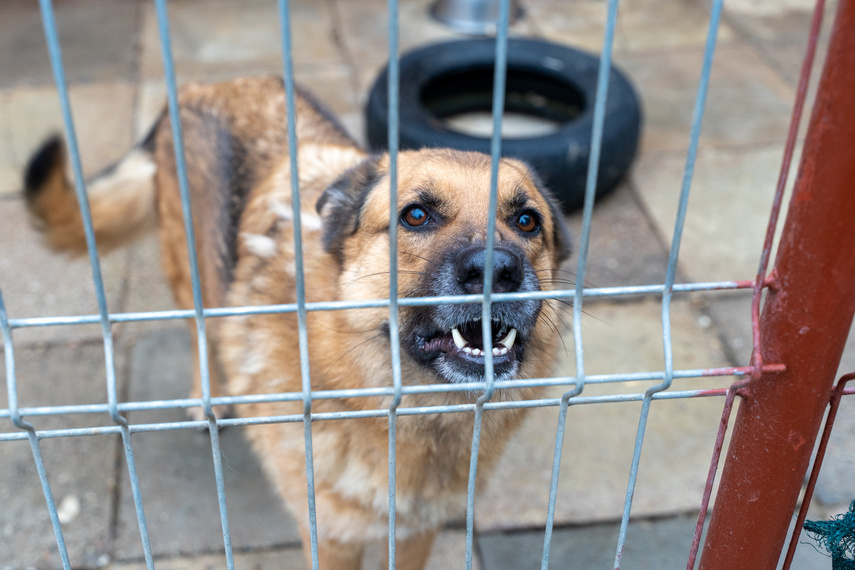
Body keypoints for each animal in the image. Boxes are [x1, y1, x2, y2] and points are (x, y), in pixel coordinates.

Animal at [23, 76, 572, 568]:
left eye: (527, 222)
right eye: (416, 216)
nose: (498, 270)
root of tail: (203, 87)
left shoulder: (418, 532)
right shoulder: (332, 540)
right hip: (190, 278)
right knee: (202, 333)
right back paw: (208, 401)